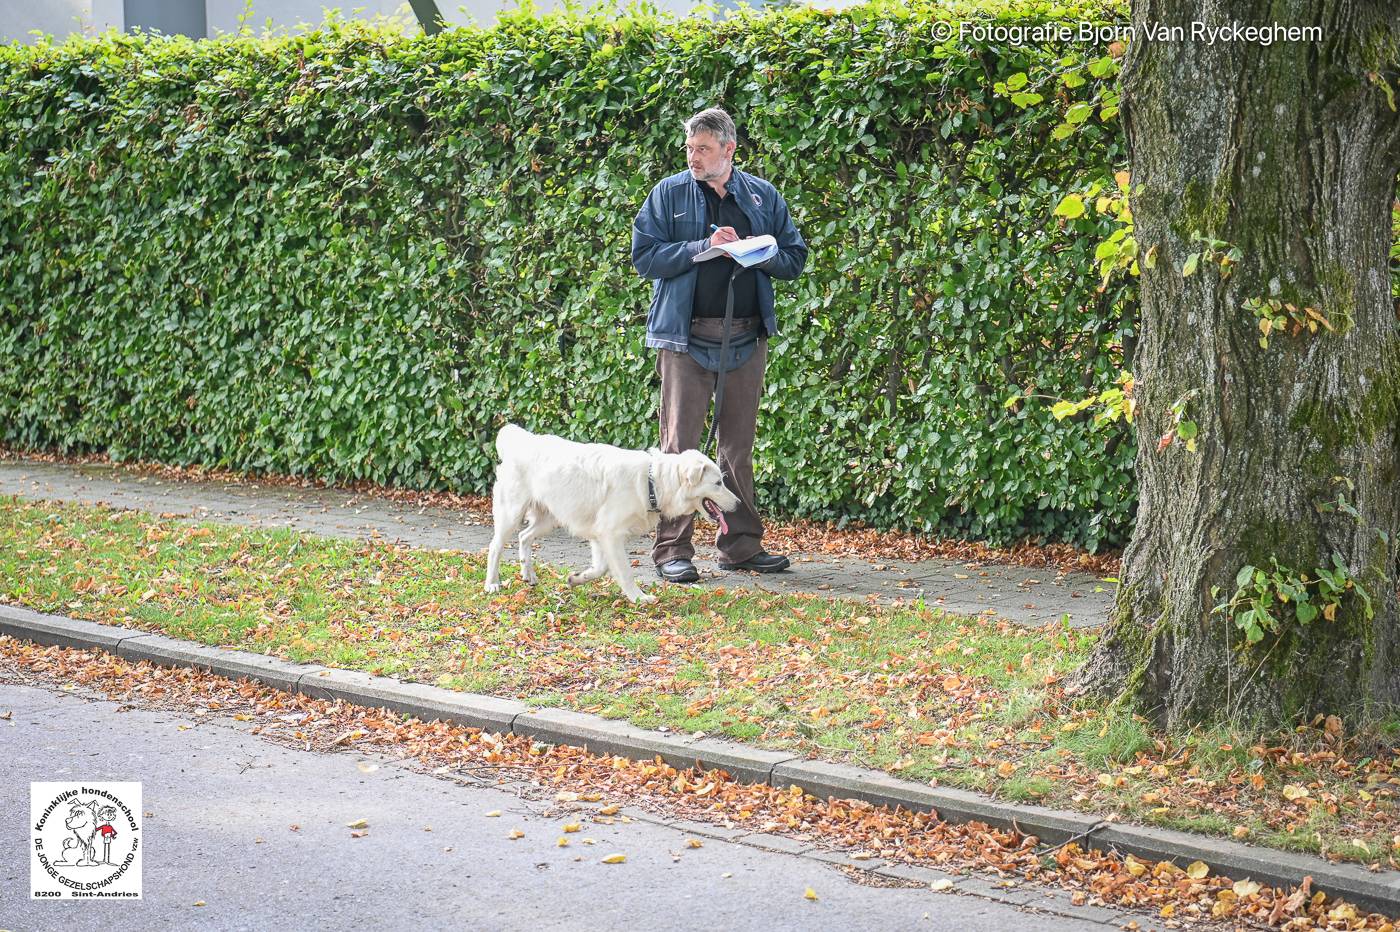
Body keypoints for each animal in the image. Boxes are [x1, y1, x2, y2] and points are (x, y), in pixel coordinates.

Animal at [484, 422, 739, 601]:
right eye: (718, 483)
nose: (738, 505)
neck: (651, 482)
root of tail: (521, 442)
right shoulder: (610, 534)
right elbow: (624, 572)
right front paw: (639, 598)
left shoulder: (600, 536)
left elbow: (601, 569)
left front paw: (577, 579)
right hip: (511, 513)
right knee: (495, 546)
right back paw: (492, 583)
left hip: (548, 519)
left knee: (523, 537)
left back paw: (528, 575)